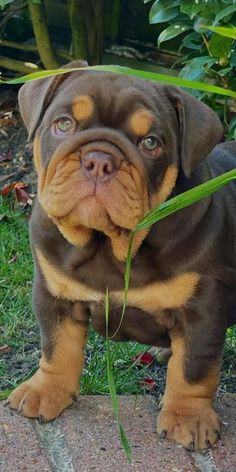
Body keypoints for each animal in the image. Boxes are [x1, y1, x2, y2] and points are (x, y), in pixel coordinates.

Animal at [7, 61, 236, 450]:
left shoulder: (204, 310)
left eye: (150, 143)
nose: (99, 160)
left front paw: (189, 416)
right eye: (63, 124)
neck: (108, 245)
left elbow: (195, 366)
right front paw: (45, 390)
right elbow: (57, 346)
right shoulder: (53, 294)